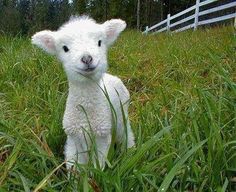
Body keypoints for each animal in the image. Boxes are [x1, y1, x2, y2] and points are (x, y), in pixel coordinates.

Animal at [31, 16, 135, 170]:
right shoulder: (74, 137)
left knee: (126, 133)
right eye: (65, 48)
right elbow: (75, 165)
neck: (85, 110)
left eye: (99, 42)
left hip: (122, 113)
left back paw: (130, 152)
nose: (87, 58)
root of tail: (110, 76)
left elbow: (98, 165)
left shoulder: (102, 136)